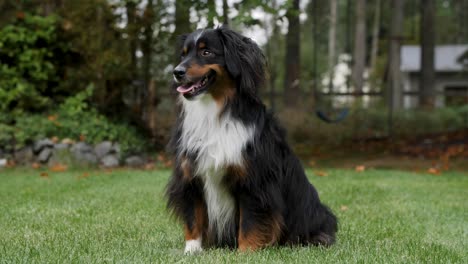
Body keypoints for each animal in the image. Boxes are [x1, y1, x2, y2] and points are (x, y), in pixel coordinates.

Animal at [165, 26, 336, 254]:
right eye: (183, 55)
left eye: (206, 52)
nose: (177, 72)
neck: (215, 113)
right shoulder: (190, 177)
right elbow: (193, 218)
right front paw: (191, 251)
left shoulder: (254, 181)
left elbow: (250, 221)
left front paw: (246, 252)